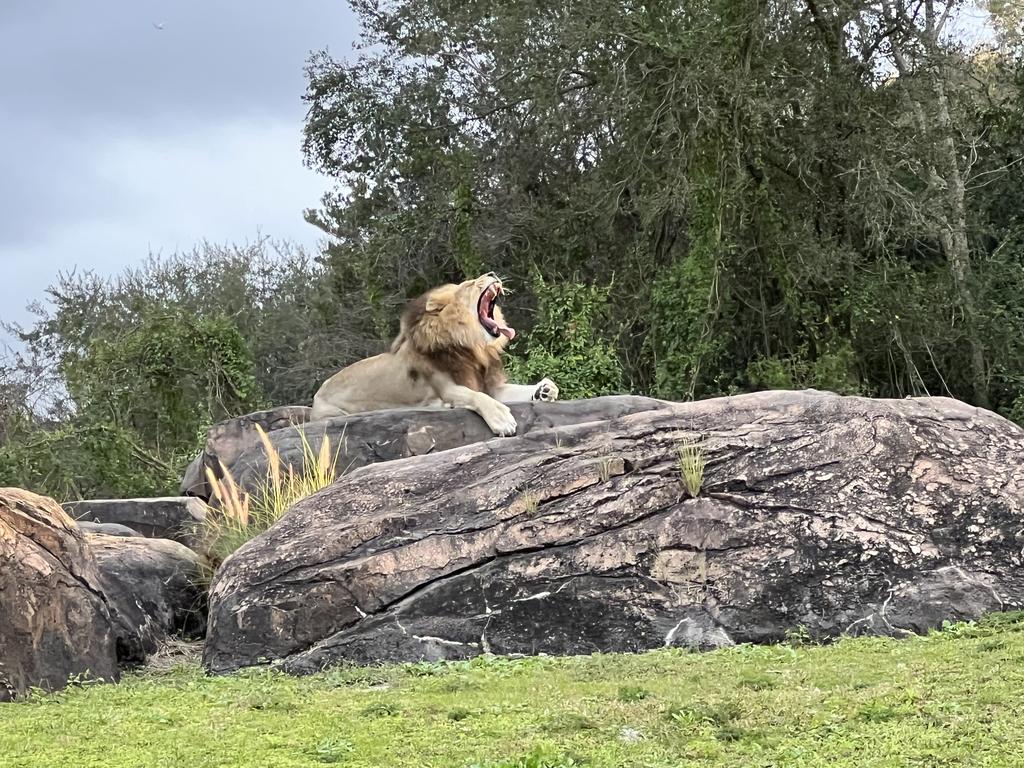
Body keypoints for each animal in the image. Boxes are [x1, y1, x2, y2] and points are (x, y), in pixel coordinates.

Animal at [311, 274, 561, 436]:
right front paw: (501, 418)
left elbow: (519, 389)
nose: (492, 274)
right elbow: (476, 396)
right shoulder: (447, 387)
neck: (473, 346)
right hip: (332, 413)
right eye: (469, 284)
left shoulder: (491, 385)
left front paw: (545, 390)